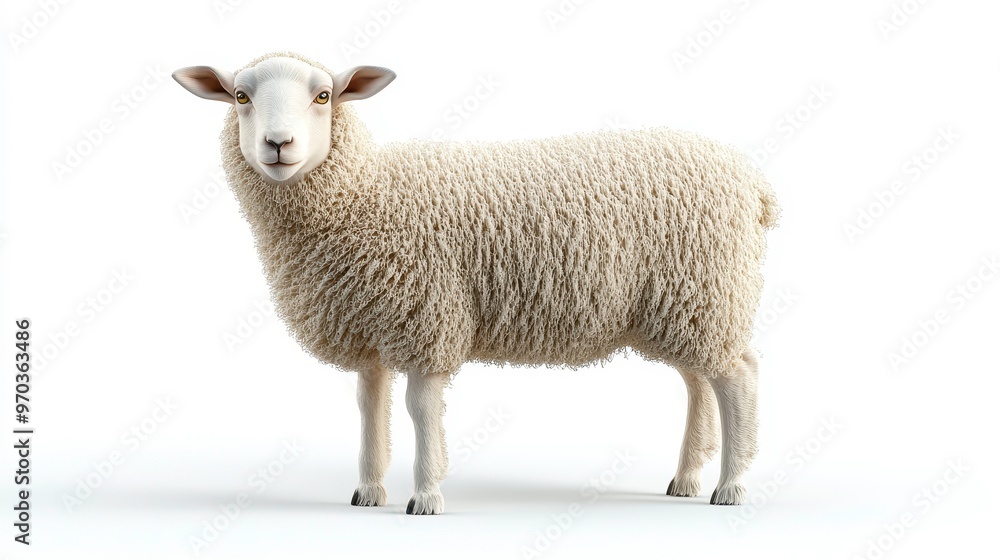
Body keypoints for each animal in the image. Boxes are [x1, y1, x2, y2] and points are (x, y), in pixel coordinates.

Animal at [173, 51, 779, 515]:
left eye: (324, 96)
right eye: (240, 96)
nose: (278, 143)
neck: (364, 196)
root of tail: (754, 183)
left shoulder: (426, 318)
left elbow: (419, 409)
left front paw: (425, 497)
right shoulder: (372, 330)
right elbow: (370, 408)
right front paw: (368, 490)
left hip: (710, 290)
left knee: (739, 377)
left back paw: (730, 487)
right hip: (687, 303)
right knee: (699, 382)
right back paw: (687, 479)